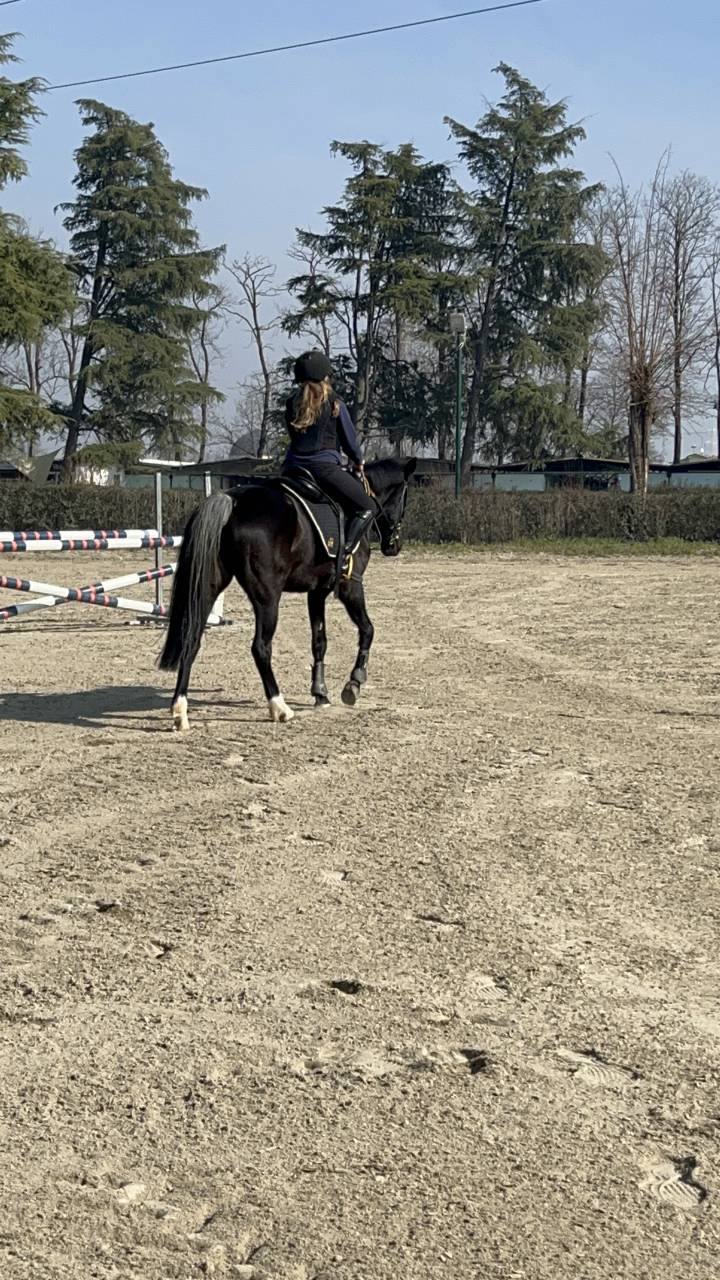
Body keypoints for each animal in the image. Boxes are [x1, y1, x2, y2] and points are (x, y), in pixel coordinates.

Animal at [158, 457, 417, 731]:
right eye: (404, 496)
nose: (394, 546)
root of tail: (232, 501)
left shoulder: (317, 592)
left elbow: (319, 641)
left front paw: (320, 693)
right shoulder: (351, 585)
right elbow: (368, 630)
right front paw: (353, 684)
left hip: (208, 587)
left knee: (191, 639)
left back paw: (180, 711)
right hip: (268, 597)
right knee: (260, 648)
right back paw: (279, 707)